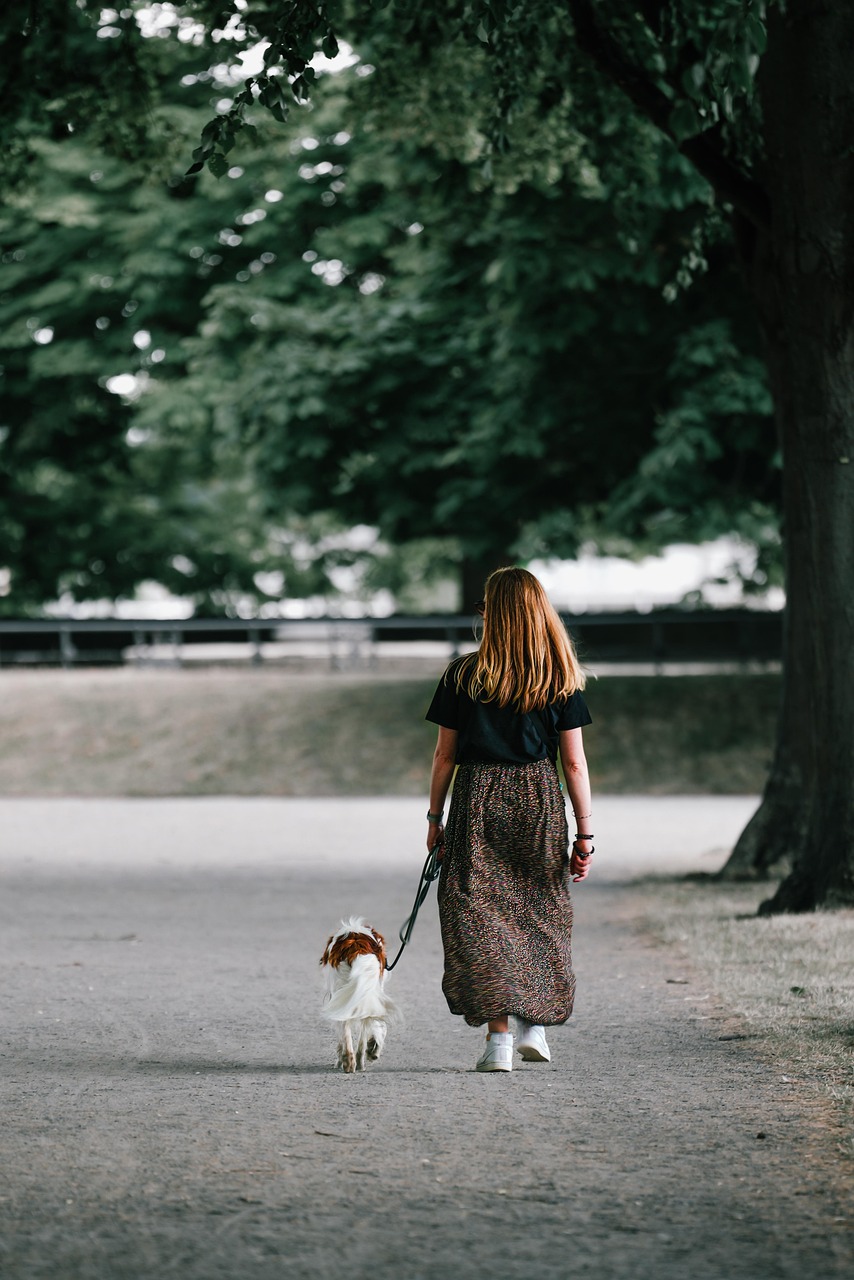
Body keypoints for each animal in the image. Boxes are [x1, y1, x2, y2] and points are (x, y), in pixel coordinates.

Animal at [320, 921, 402, 1070]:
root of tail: (356, 945)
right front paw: (373, 1048)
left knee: (348, 1028)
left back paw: (349, 1061)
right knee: (362, 1031)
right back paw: (357, 1062)